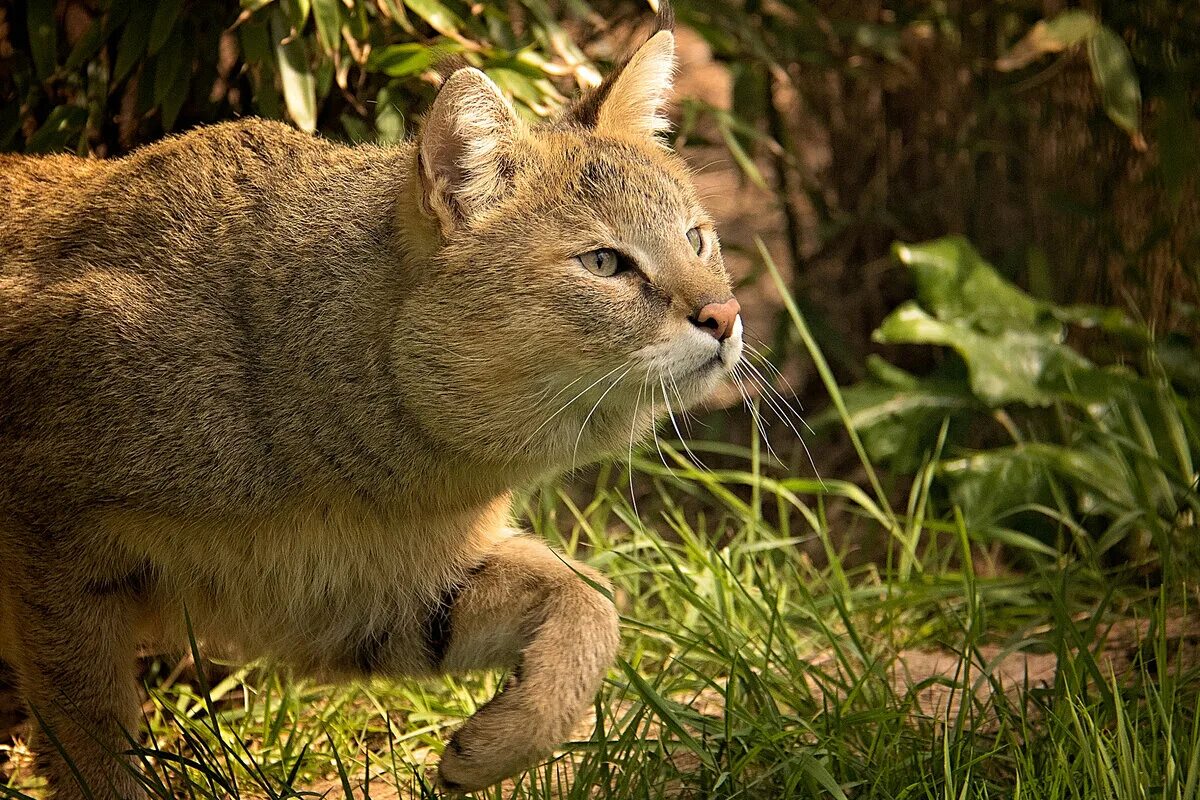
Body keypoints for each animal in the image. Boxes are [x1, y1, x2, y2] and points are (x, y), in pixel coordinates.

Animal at [0, 14, 744, 800]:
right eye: (604, 263)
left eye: (697, 238)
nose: (726, 315)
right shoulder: (52, 543)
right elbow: (95, 744)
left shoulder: (358, 595)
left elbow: (591, 599)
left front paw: (499, 742)